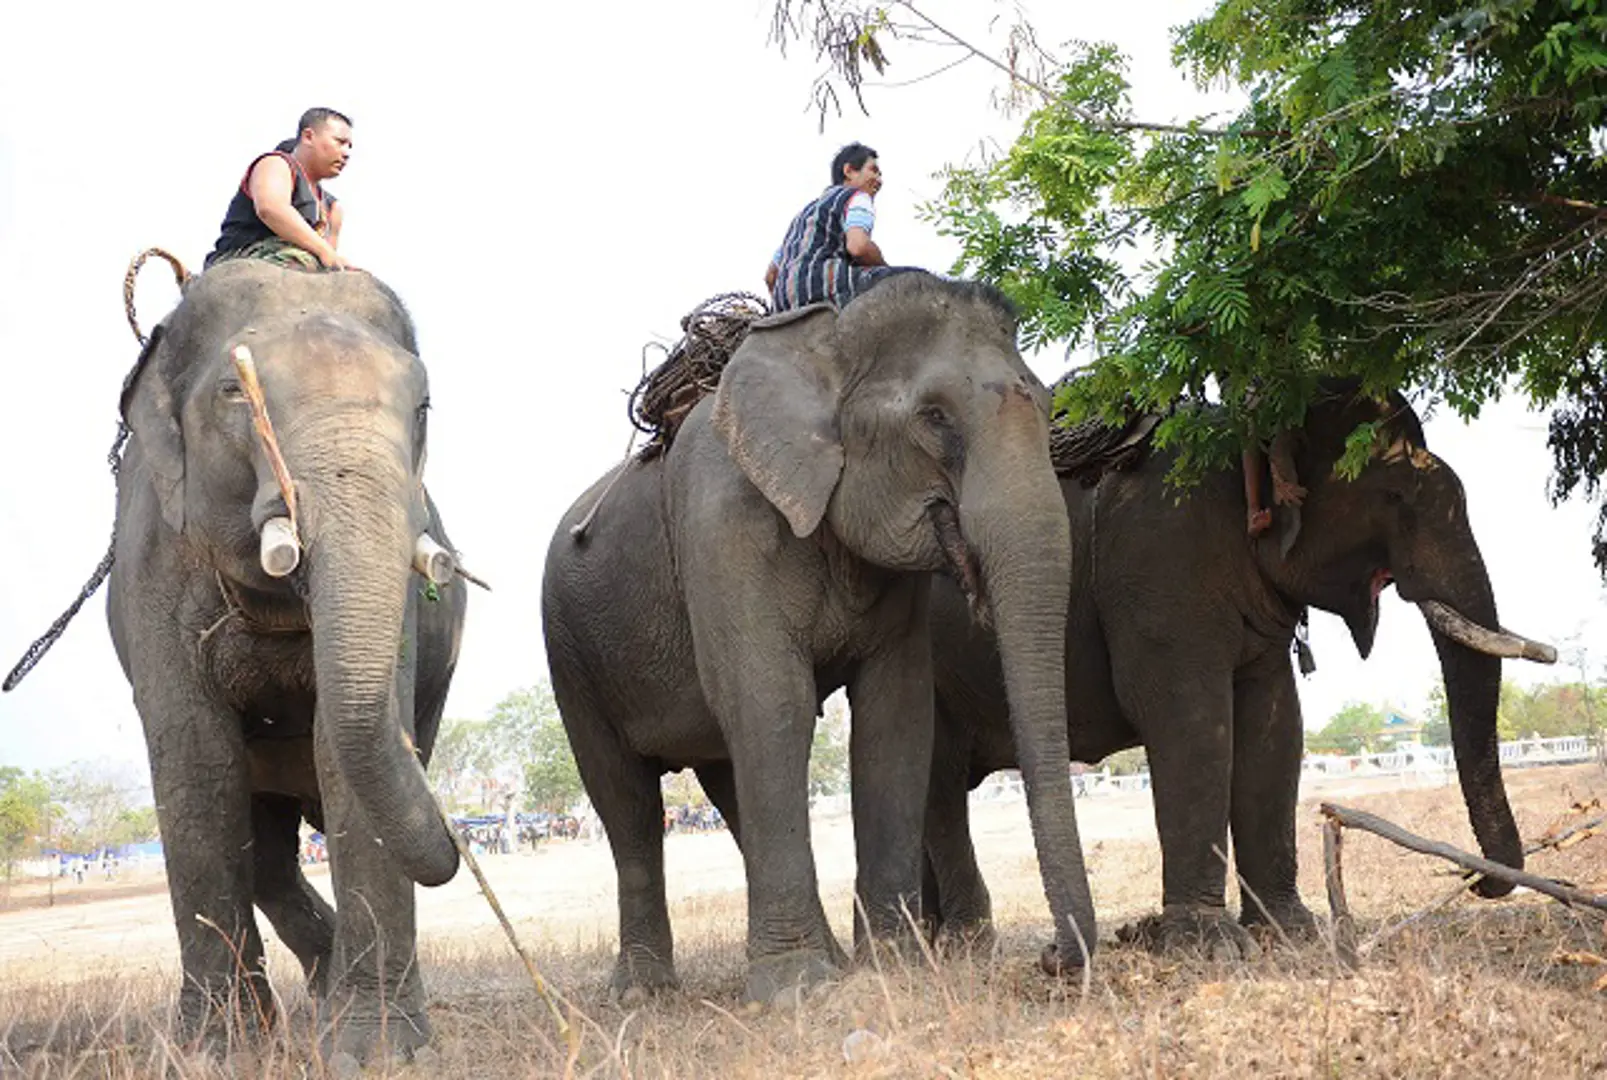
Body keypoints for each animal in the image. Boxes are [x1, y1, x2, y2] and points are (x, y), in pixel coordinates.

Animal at [104, 258, 469, 1060]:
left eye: (424, 405)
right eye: (234, 392)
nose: (459, 837)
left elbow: (343, 746)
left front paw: (378, 1054)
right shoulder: (154, 564)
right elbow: (197, 761)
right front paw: (215, 1053)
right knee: (266, 849)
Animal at [546, 271, 1099, 1002]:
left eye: (1044, 402)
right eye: (934, 417)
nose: (1052, 957)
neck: (825, 337)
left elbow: (894, 714)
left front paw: (894, 963)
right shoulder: (722, 524)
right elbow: (771, 700)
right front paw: (793, 990)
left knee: (727, 784)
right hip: (569, 653)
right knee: (627, 804)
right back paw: (643, 993)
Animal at [925, 384, 1549, 957]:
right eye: (1393, 496)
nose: (1472, 876)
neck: (1244, 435)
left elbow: (1275, 727)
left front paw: (1288, 934)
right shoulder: (1160, 568)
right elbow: (1190, 723)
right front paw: (1207, 946)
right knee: (939, 779)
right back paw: (961, 945)